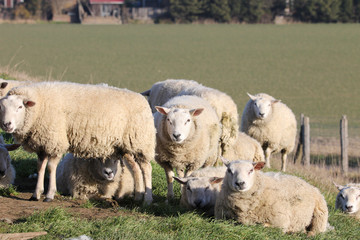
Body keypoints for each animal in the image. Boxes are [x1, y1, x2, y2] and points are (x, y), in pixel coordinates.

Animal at [0, 81, 155, 203]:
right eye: (1, 107)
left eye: (20, 107)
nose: (7, 124)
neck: (39, 106)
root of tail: (142, 99)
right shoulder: (42, 144)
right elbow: (40, 168)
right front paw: (36, 194)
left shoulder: (56, 141)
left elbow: (50, 167)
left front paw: (49, 195)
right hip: (125, 146)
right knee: (135, 168)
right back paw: (138, 196)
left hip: (140, 142)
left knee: (146, 168)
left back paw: (147, 200)